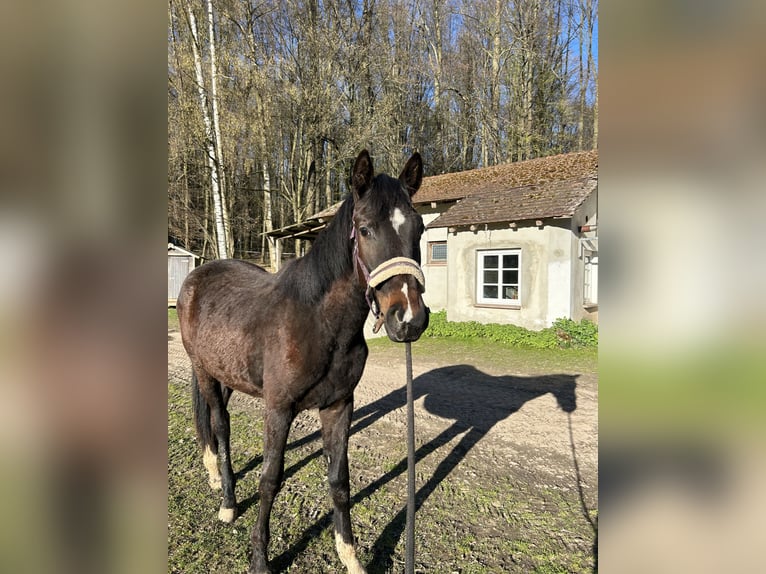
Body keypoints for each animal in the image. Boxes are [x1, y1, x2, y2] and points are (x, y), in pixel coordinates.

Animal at [176, 150, 430, 574]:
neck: (319, 323)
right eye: (364, 229)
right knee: (220, 427)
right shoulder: (279, 408)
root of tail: (197, 275)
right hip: (204, 372)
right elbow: (270, 480)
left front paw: (350, 556)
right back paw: (227, 500)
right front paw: (260, 558)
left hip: (229, 374)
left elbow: (339, 482)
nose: (408, 318)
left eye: (421, 228)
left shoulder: (339, 406)